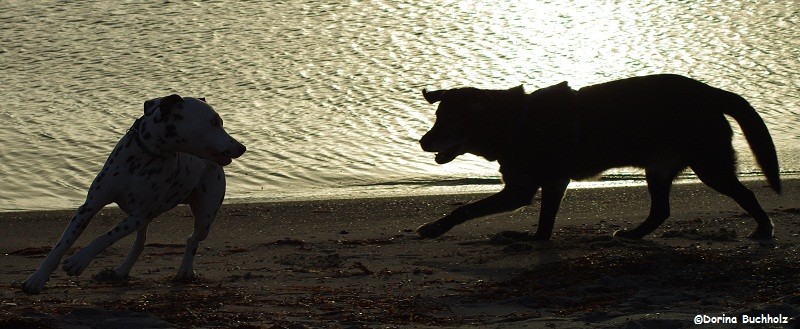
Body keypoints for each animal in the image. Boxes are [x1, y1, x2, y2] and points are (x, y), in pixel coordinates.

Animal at [23, 93, 245, 294]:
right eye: (214, 122)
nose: (242, 147)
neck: (143, 157)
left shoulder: (138, 215)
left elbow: (104, 238)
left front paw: (80, 260)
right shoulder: (90, 206)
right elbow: (61, 245)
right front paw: (37, 279)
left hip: (205, 217)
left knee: (192, 239)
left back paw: (185, 270)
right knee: (140, 243)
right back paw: (122, 271)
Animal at [418, 73, 780, 240]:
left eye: (450, 121)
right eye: (437, 116)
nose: (423, 142)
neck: (516, 121)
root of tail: (711, 93)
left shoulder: (522, 188)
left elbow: (466, 208)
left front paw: (434, 228)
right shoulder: (550, 183)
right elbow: (544, 221)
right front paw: (536, 239)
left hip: (709, 165)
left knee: (746, 194)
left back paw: (764, 228)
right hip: (659, 167)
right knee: (660, 210)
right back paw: (633, 235)